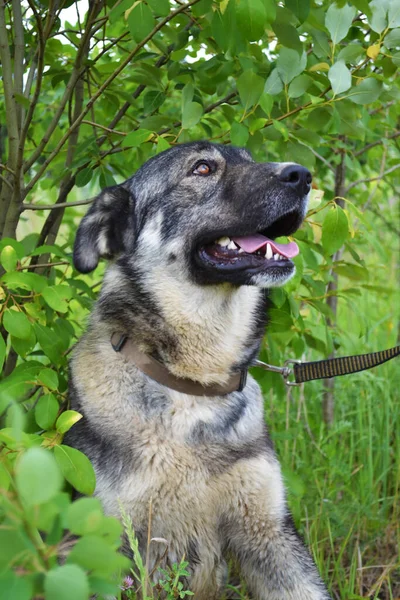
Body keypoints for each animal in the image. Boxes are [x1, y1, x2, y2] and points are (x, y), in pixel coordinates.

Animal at [67, 142, 332, 600]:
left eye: (250, 157)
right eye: (203, 168)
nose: (303, 175)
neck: (192, 384)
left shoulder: (269, 532)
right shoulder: (109, 549)